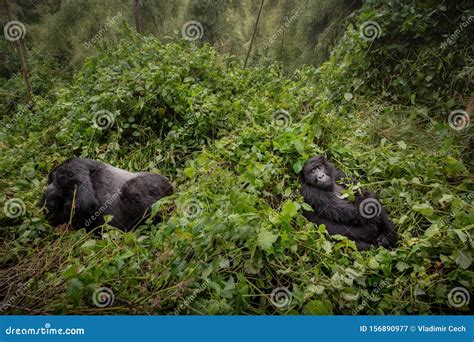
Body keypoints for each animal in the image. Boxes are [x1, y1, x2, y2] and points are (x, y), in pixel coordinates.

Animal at [39, 159, 172, 231]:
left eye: (58, 180)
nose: (49, 189)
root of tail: (172, 187)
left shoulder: (72, 167)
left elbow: (85, 204)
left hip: (160, 185)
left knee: (130, 189)